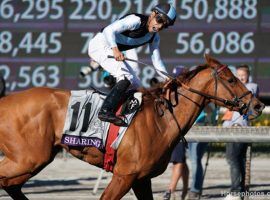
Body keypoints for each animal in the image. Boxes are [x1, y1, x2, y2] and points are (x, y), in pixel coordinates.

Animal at [0, 55, 264, 200]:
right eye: (231, 79)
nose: (258, 105)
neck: (161, 119)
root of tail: (5, 101)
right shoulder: (125, 175)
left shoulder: (140, 179)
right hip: (28, 158)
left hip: (32, 159)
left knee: (10, 184)